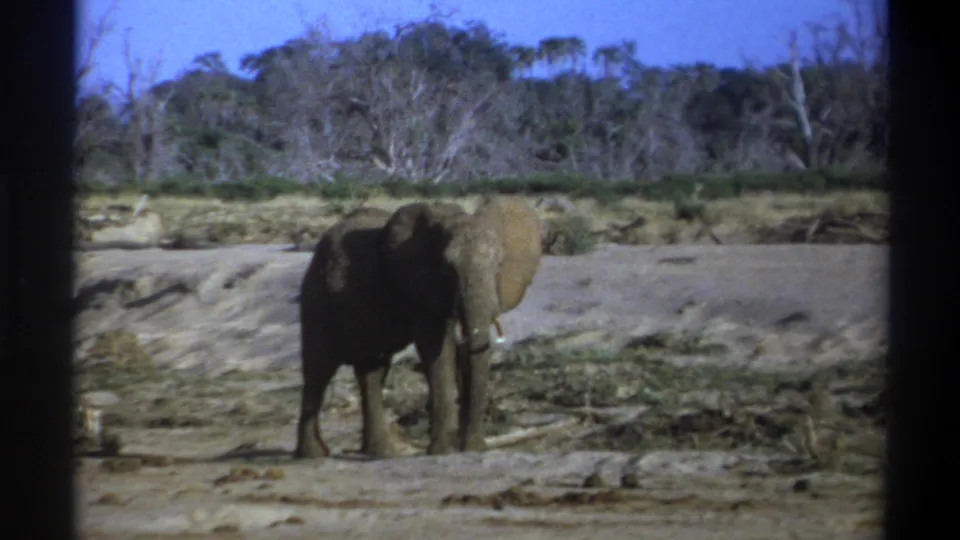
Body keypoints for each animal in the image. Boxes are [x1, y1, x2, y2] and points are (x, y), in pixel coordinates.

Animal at [381, 195, 542, 453]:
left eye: (499, 265)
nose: (476, 447)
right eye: (449, 268)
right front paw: (441, 451)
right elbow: (436, 351)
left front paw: (470, 447)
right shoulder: (423, 291)